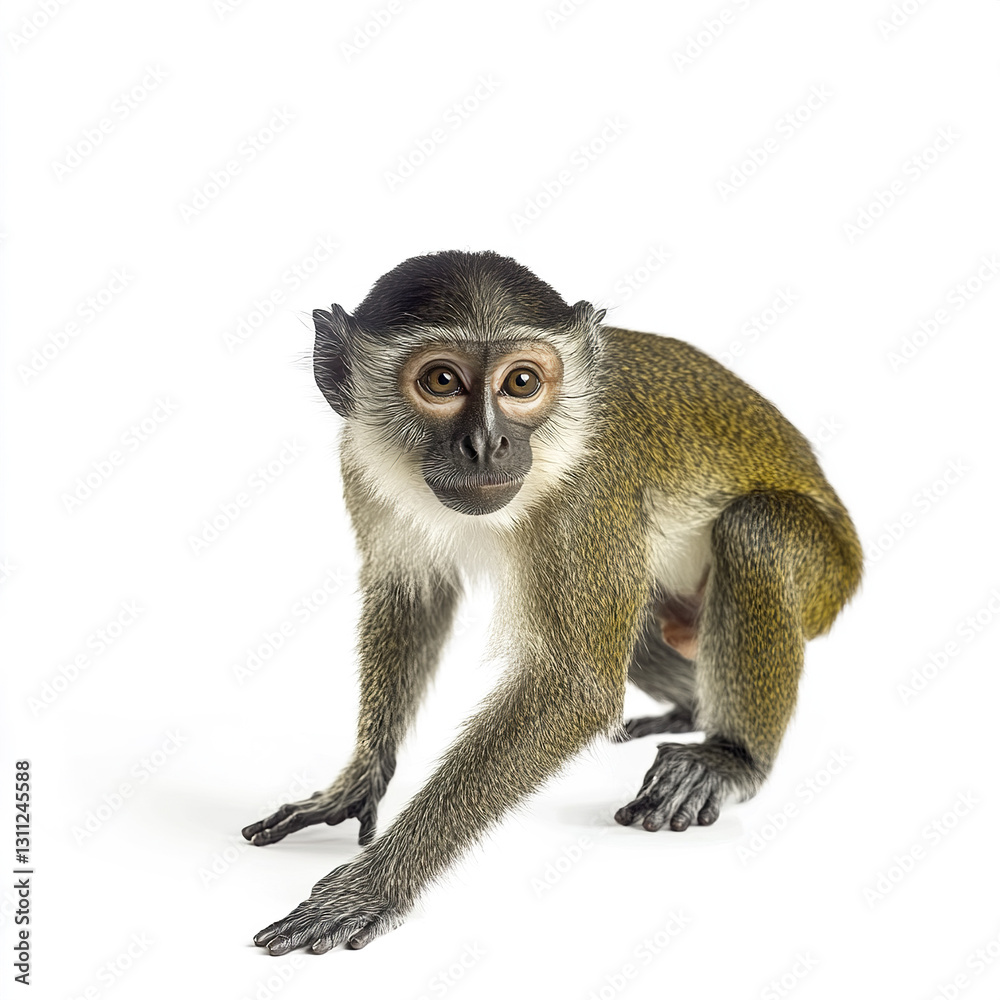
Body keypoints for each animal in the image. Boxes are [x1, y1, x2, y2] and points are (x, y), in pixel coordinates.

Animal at [242, 249, 862, 955]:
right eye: (441, 380)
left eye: (521, 383)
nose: (486, 444)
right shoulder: (359, 460)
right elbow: (413, 592)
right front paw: (360, 779)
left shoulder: (591, 491)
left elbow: (576, 688)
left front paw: (376, 885)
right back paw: (688, 709)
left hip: (827, 578)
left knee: (757, 531)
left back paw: (731, 757)